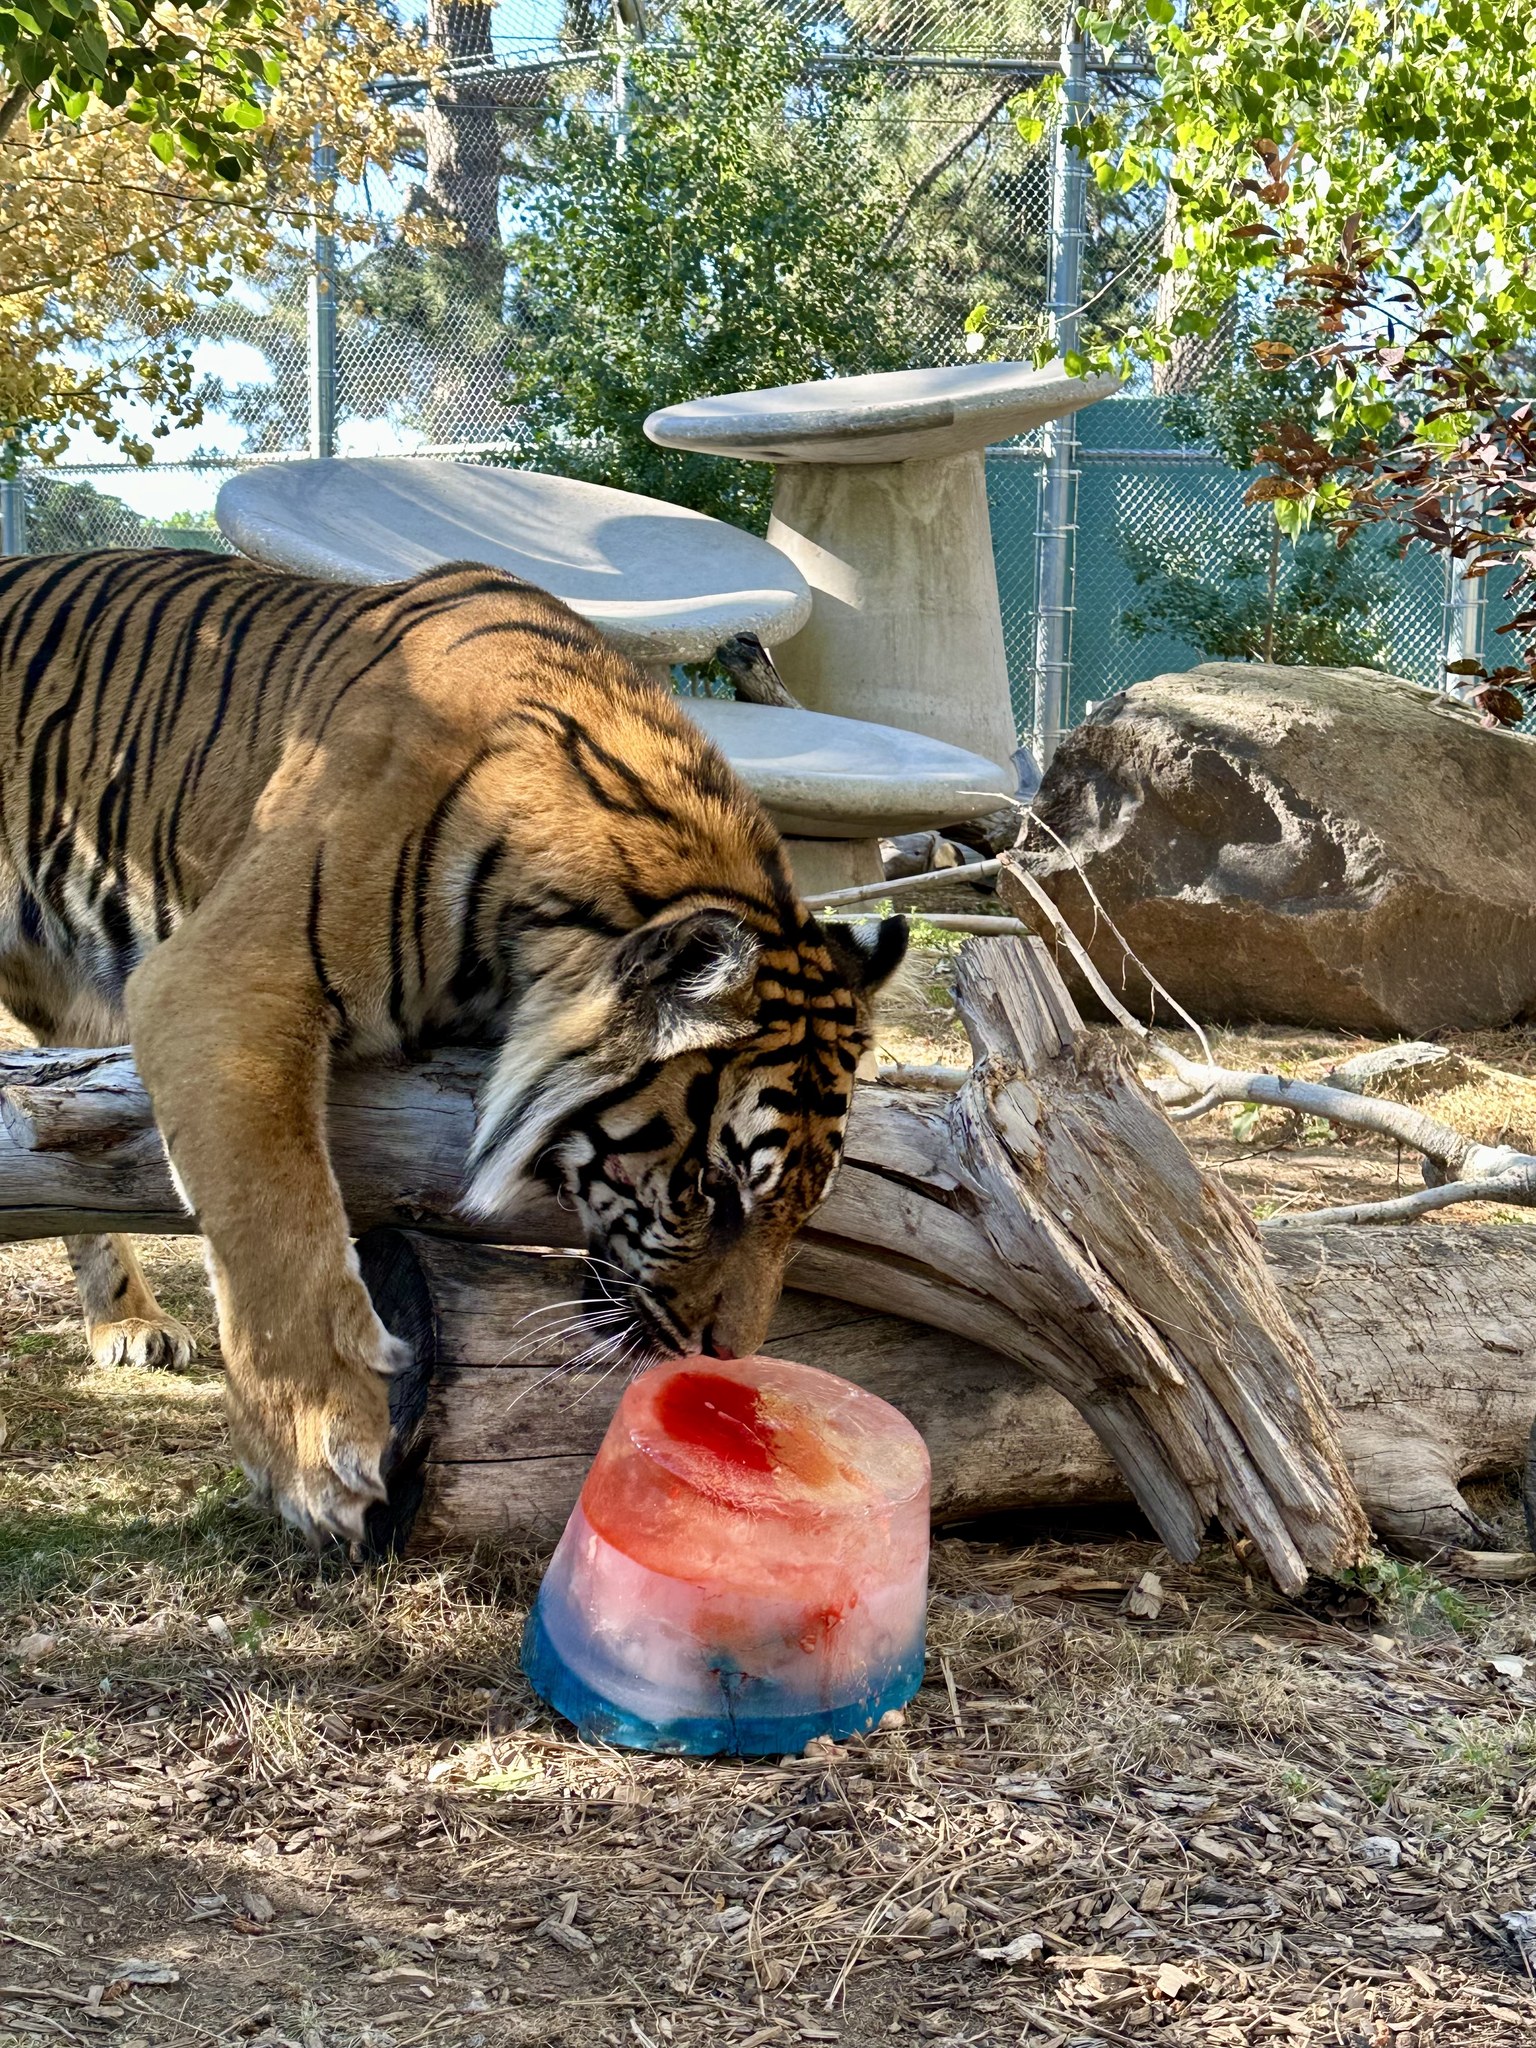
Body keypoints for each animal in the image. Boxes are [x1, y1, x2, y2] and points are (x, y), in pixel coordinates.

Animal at [0, 544, 909, 1540]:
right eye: (713, 1188)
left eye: (807, 1207)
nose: (724, 1359)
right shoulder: (218, 978)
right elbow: (277, 1216)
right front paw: (316, 1454)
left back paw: (126, 1323)